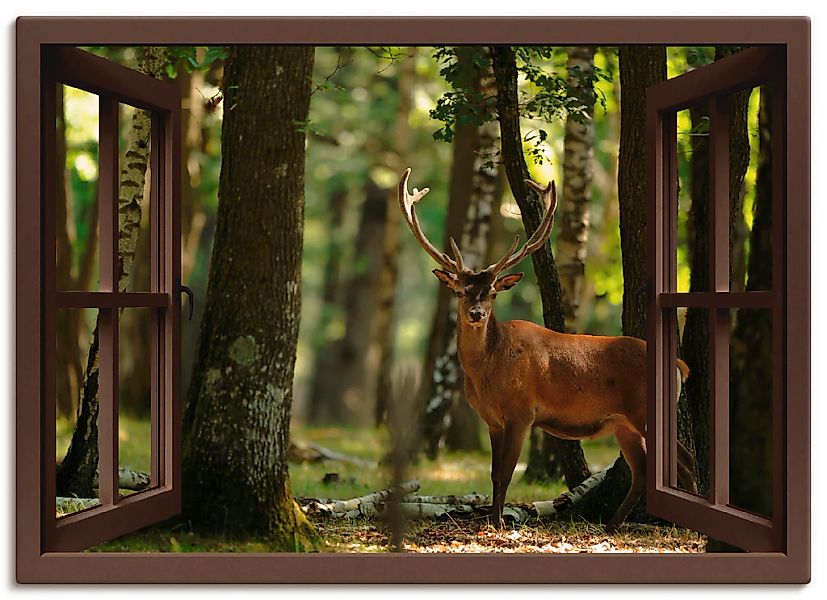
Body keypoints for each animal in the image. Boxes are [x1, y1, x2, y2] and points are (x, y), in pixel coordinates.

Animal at [399, 168, 695, 531]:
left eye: (492, 293)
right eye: (460, 291)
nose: (477, 314)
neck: (487, 370)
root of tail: (680, 364)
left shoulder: (522, 412)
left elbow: (505, 473)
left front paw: (498, 524)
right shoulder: (492, 421)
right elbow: (494, 473)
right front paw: (493, 521)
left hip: (644, 409)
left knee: (685, 460)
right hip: (623, 423)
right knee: (641, 471)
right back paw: (612, 524)